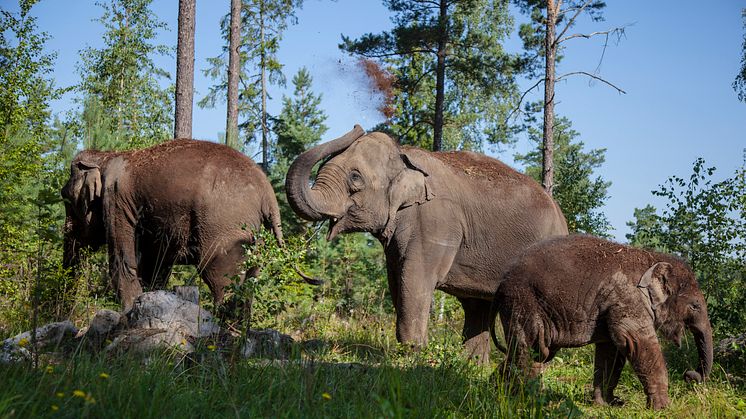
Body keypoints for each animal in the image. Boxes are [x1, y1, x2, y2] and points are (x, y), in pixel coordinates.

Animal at [61, 139, 284, 310]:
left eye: (65, 199)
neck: (107, 156)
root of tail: (267, 189)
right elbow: (154, 267)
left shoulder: (116, 200)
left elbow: (123, 263)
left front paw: (128, 312)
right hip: (256, 234)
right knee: (250, 280)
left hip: (224, 226)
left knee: (220, 278)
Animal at [284, 125, 564, 364]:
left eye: (355, 178)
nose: (357, 126)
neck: (404, 156)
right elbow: (397, 280)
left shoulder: (435, 221)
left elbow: (416, 277)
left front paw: (412, 356)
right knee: (477, 306)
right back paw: (472, 367)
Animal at [488, 235, 708, 412]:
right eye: (695, 306)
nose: (691, 375)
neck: (651, 257)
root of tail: (501, 284)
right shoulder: (628, 297)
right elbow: (638, 343)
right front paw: (663, 408)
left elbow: (612, 350)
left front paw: (608, 404)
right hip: (522, 302)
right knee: (533, 349)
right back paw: (526, 401)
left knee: (535, 352)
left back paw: (498, 391)